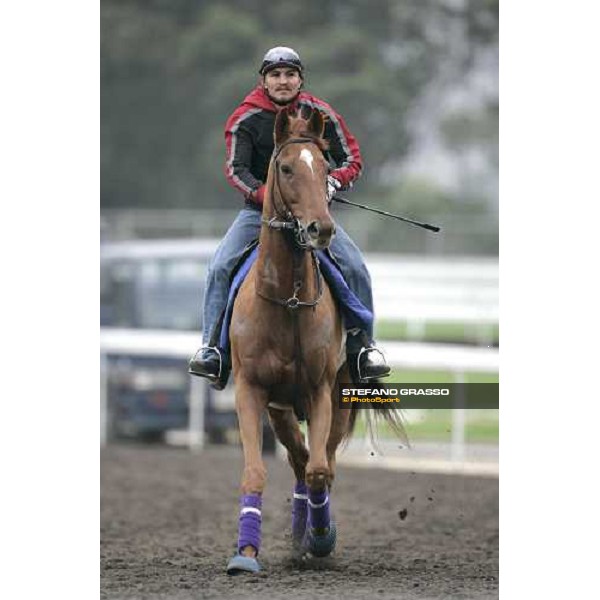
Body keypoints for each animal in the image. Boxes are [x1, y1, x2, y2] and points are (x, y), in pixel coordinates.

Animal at [225, 105, 404, 576]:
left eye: (325, 169)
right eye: (285, 168)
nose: (319, 227)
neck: (288, 301)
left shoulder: (322, 389)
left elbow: (322, 470)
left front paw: (322, 538)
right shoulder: (253, 391)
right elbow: (258, 471)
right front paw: (245, 553)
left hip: (338, 398)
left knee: (321, 463)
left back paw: (312, 536)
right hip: (282, 410)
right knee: (298, 459)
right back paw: (297, 534)